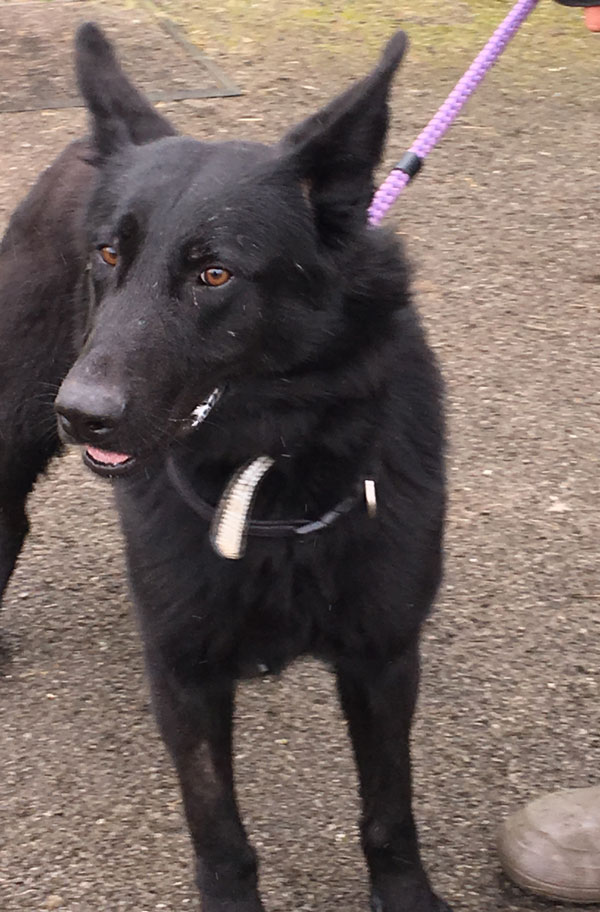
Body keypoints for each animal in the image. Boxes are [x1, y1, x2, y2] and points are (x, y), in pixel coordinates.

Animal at [3, 23, 450, 912]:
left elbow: (390, 808)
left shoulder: (384, 656)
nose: (81, 412)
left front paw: (407, 892)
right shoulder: (184, 671)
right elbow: (220, 832)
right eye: (108, 255)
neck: (269, 478)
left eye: (214, 273)